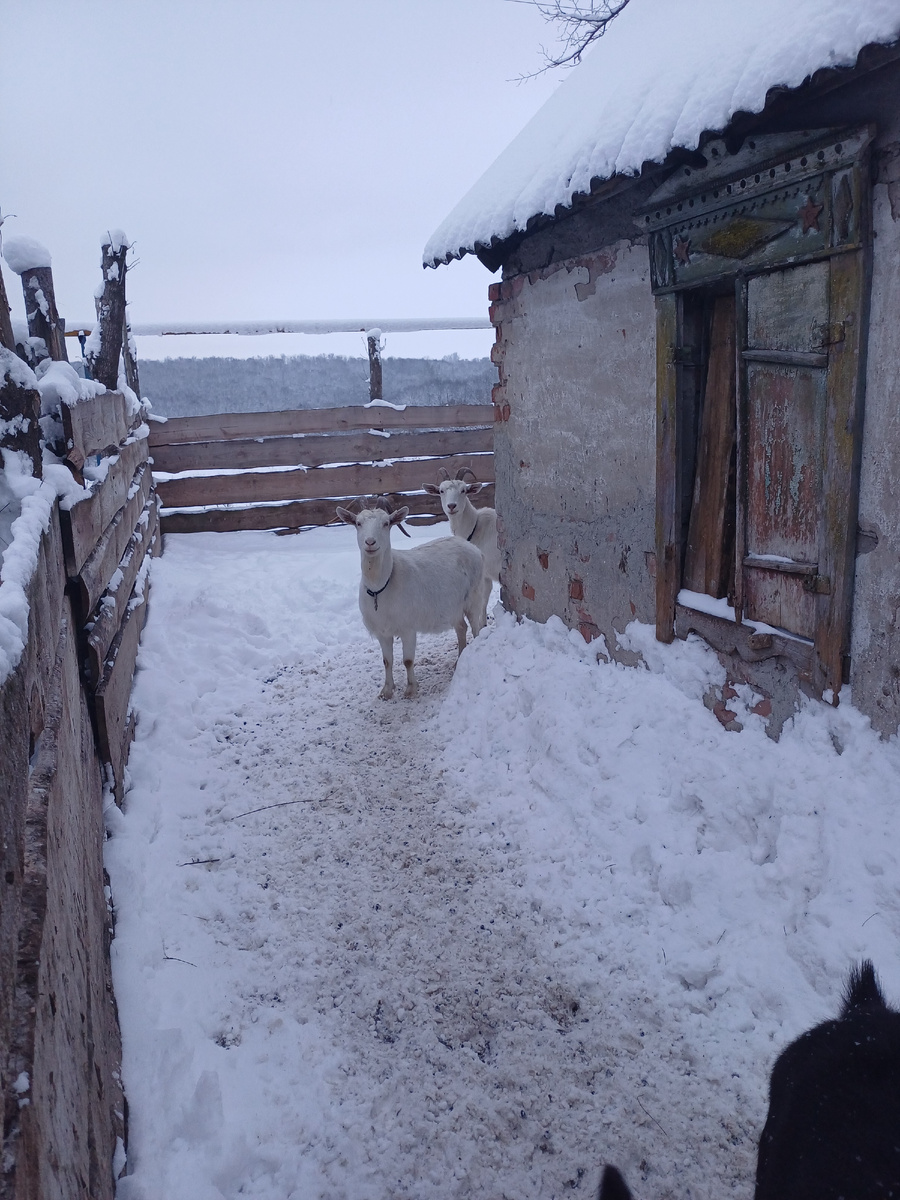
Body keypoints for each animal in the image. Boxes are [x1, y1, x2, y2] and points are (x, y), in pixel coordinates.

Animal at [336, 499, 486, 699]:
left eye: (386, 523)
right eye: (358, 523)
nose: (370, 542)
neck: (381, 589)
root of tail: (474, 549)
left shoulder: (408, 628)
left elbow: (407, 660)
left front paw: (410, 689)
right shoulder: (382, 632)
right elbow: (387, 661)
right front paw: (387, 691)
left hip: (473, 597)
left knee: (476, 628)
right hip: (453, 606)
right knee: (461, 628)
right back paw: (459, 661)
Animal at [423, 466, 499, 615]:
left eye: (463, 490)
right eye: (441, 491)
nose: (452, 506)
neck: (476, 526)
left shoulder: (485, 574)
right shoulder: (486, 575)